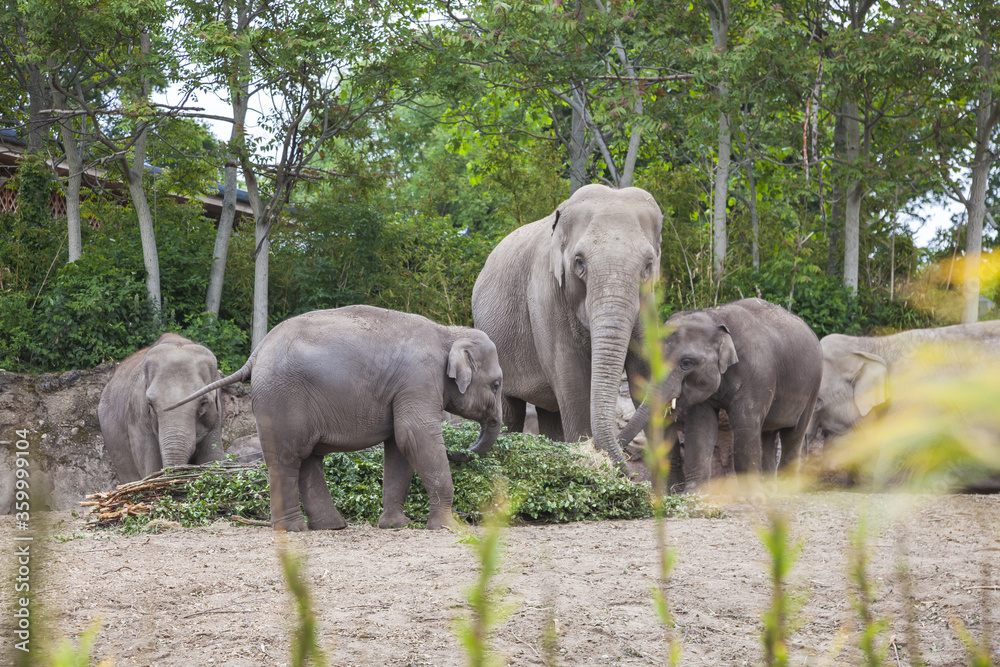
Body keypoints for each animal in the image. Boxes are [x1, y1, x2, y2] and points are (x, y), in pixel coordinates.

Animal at [98, 333, 224, 483]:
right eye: (151, 404)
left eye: (203, 403)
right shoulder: (137, 417)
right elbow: (152, 465)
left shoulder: (215, 416)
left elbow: (213, 456)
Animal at [167, 305, 504, 532]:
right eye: (497, 384)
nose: (460, 451)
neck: (449, 332)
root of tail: (257, 352)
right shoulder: (418, 380)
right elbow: (415, 435)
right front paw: (451, 527)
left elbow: (399, 445)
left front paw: (396, 525)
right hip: (282, 398)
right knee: (287, 458)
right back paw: (294, 529)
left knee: (307, 458)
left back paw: (331, 526)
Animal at [472, 184, 662, 468]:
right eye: (579, 262)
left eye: (648, 266)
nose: (627, 461)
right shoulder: (545, 297)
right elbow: (573, 379)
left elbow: (643, 371)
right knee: (509, 412)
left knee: (550, 414)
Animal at [616, 298, 823, 491]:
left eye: (686, 363)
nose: (629, 474)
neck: (715, 318)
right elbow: (701, 425)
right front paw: (693, 494)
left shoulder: (758, 374)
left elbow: (745, 423)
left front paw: (753, 496)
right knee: (768, 435)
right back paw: (771, 489)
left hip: (813, 385)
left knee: (793, 435)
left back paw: (785, 489)